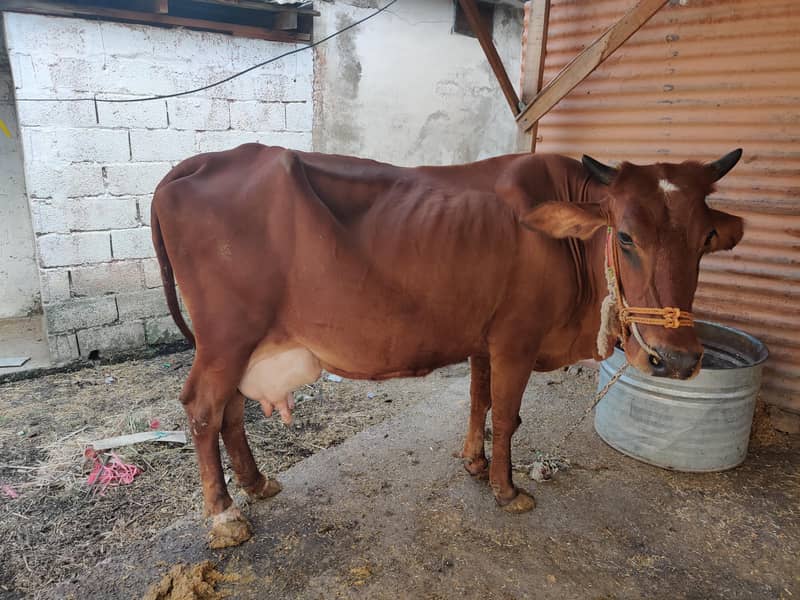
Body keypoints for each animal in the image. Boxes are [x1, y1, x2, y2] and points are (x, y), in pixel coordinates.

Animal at [151, 146, 743, 548]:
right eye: (624, 236)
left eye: (706, 240)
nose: (678, 359)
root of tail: (199, 163)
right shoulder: (516, 339)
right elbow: (507, 415)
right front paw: (507, 490)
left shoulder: (485, 338)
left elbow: (479, 400)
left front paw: (475, 463)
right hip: (227, 336)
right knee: (203, 407)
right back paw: (225, 515)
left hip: (240, 342)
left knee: (230, 411)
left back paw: (255, 484)